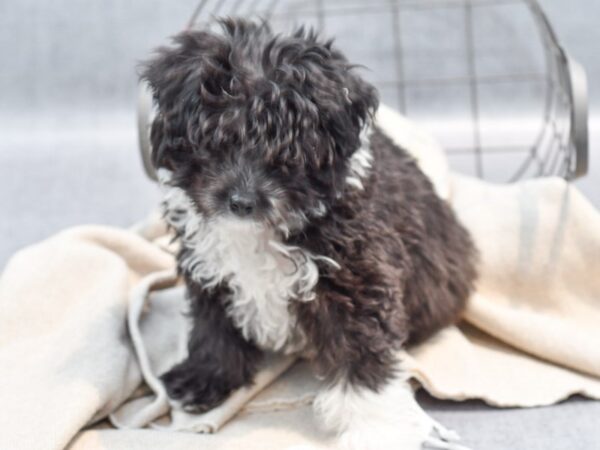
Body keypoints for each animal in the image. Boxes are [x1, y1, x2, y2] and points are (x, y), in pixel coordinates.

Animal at [142, 18, 478, 450]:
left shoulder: (355, 277)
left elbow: (360, 352)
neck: (259, 232)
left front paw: (376, 428)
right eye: (215, 142)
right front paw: (207, 376)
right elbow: (213, 326)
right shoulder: (209, 267)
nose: (242, 202)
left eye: (288, 155)